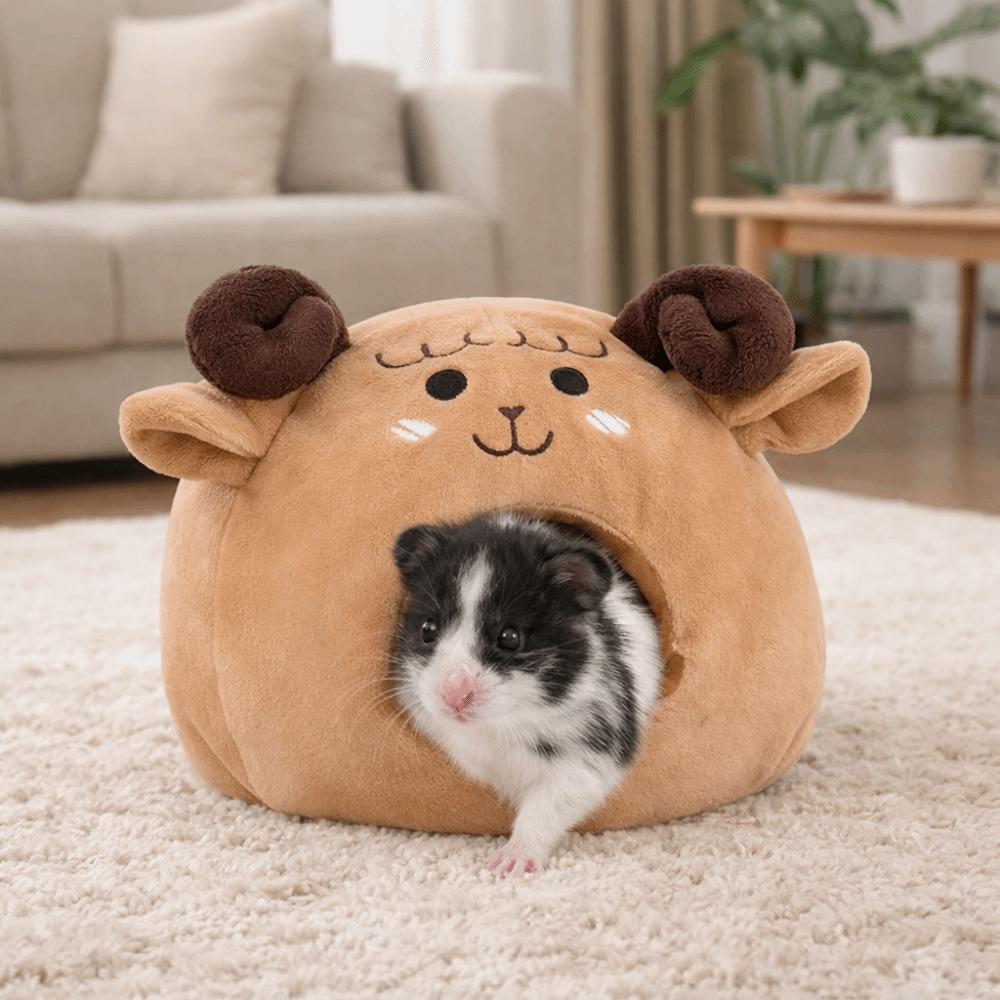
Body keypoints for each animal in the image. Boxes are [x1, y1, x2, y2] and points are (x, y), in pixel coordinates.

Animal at [391, 512, 663, 876]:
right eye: (427, 630)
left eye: (510, 637)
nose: (453, 697)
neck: (497, 722)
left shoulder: (589, 757)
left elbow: (544, 809)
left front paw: (508, 865)